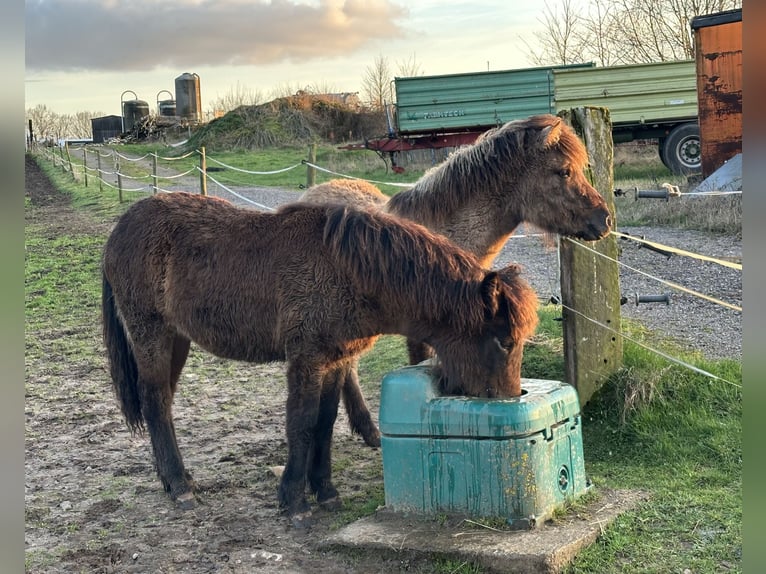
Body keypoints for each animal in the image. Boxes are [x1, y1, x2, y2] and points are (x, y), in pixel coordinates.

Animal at [101, 192, 539, 527]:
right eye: (504, 341)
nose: (510, 397)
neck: (347, 270)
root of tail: (122, 227)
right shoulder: (307, 359)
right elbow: (301, 425)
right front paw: (294, 500)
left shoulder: (336, 361)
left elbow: (325, 423)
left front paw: (325, 491)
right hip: (151, 335)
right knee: (156, 403)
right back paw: (180, 486)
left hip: (176, 339)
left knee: (161, 404)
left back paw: (173, 477)